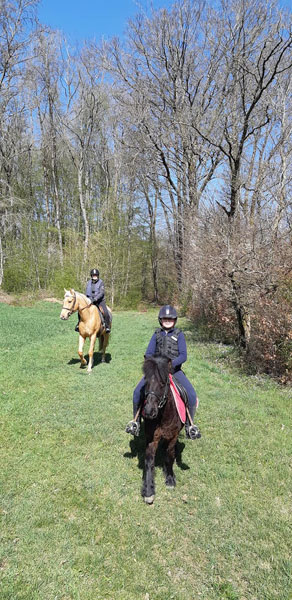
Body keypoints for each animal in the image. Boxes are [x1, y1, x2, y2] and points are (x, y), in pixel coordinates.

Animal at [141, 354, 182, 504]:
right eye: (146, 381)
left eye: (163, 383)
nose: (148, 411)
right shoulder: (151, 438)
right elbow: (149, 461)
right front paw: (148, 490)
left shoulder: (173, 436)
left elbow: (170, 455)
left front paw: (169, 478)